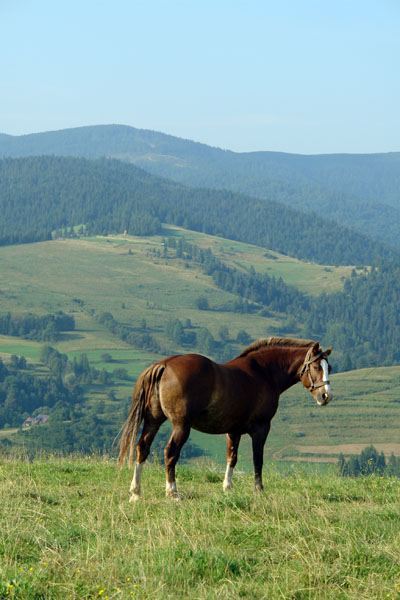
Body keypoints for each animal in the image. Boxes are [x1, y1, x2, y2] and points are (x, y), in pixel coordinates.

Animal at [118, 338, 332, 502]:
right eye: (315, 366)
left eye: (328, 367)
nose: (326, 396)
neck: (264, 373)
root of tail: (165, 365)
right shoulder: (261, 428)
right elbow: (258, 458)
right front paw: (259, 489)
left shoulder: (233, 430)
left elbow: (232, 457)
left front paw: (228, 487)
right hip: (181, 426)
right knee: (170, 453)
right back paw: (173, 492)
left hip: (153, 421)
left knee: (142, 448)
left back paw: (136, 492)